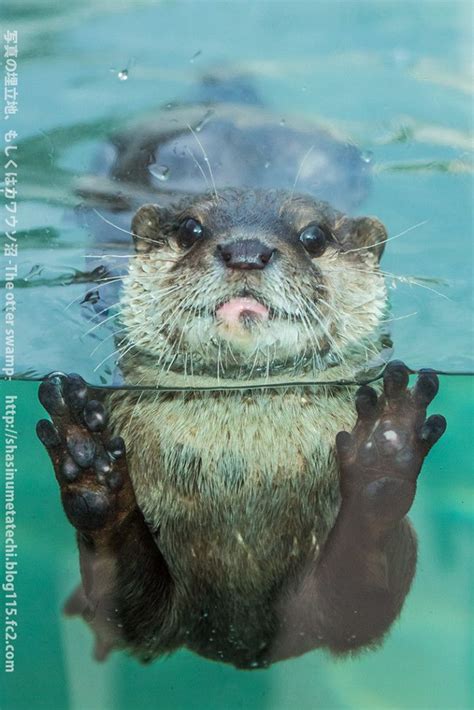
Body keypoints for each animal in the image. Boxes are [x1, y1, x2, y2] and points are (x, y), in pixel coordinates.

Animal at [36, 79, 444, 672]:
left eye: (313, 236)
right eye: (190, 229)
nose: (247, 250)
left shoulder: (328, 609)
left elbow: (360, 596)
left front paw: (384, 453)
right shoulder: (146, 617)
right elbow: (118, 607)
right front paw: (89, 466)